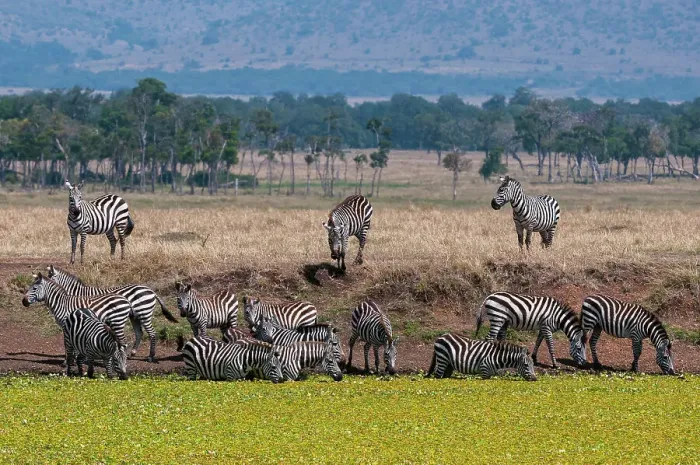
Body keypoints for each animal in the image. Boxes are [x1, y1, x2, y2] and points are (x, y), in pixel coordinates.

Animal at [47, 265, 178, 362]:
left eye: (50, 279)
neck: (77, 295)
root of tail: (151, 290)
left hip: (144, 313)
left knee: (152, 333)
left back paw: (150, 356)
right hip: (135, 316)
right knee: (139, 333)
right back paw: (132, 353)